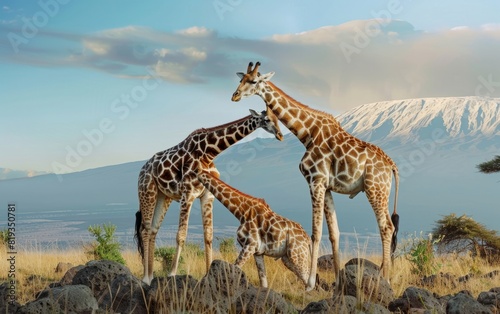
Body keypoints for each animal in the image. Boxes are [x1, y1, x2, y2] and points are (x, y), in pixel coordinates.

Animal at [135, 108, 284, 284]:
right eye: (267, 119)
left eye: (278, 118)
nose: (280, 135)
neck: (209, 152)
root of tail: (142, 169)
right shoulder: (188, 193)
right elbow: (181, 235)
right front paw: (172, 274)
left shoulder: (207, 195)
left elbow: (208, 236)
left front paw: (208, 274)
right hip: (147, 191)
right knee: (145, 230)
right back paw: (145, 278)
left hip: (164, 196)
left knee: (153, 229)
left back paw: (151, 276)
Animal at [230, 61, 398, 292]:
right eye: (241, 79)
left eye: (254, 81)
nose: (235, 95)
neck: (306, 133)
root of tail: (391, 165)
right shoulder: (326, 186)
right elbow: (334, 233)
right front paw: (337, 282)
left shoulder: (315, 180)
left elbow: (316, 232)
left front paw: (310, 283)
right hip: (380, 190)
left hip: (375, 188)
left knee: (386, 227)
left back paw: (386, 279)